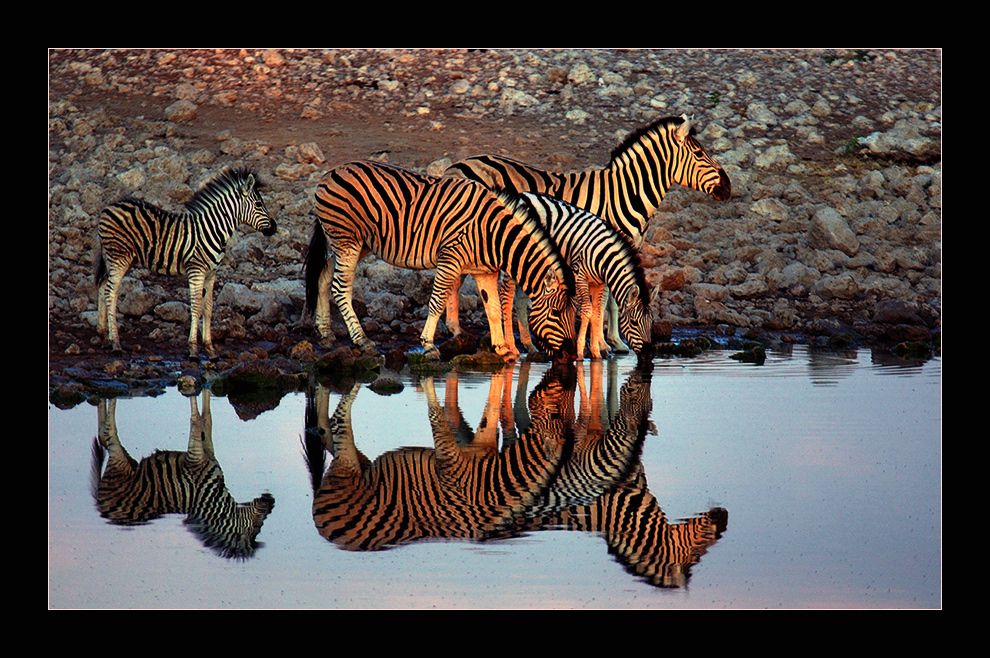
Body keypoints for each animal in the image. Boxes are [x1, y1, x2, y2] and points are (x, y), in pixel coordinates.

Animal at [91, 390, 278, 560]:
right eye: (257, 525)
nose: (271, 501)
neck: (215, 500)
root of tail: (101, 506)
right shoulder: (196, 459)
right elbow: (196, 420)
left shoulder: (206, 452)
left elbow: (207, 419)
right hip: (119, 463)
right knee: (109, 431)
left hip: (129, 464)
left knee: (102, 435)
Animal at [94, 165, 278, 358]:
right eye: (259, 204)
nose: (274, 228)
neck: (213, 229)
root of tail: (110, 206)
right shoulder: (196, 270)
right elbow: (196, 305)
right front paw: (193, 350)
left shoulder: (211, 273)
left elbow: (208, 307)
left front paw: (210, 349)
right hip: (119, 256)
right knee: (111, 293)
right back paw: (115, 343)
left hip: (119, 258)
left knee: (103, 286)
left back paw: (104, 336)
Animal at [306, 161, 576, 362]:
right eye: (556, 312)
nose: (570, 356)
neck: (493, 234)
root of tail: (330, 172)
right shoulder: (450, 259)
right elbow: (437, 302)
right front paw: (428, 345)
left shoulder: (485, 271)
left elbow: (494, 307)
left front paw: (503, 349)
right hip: (347, 240)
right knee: (341, 288)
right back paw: (362, 340)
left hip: (358, 243)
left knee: (324, 275)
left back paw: (325, 333)